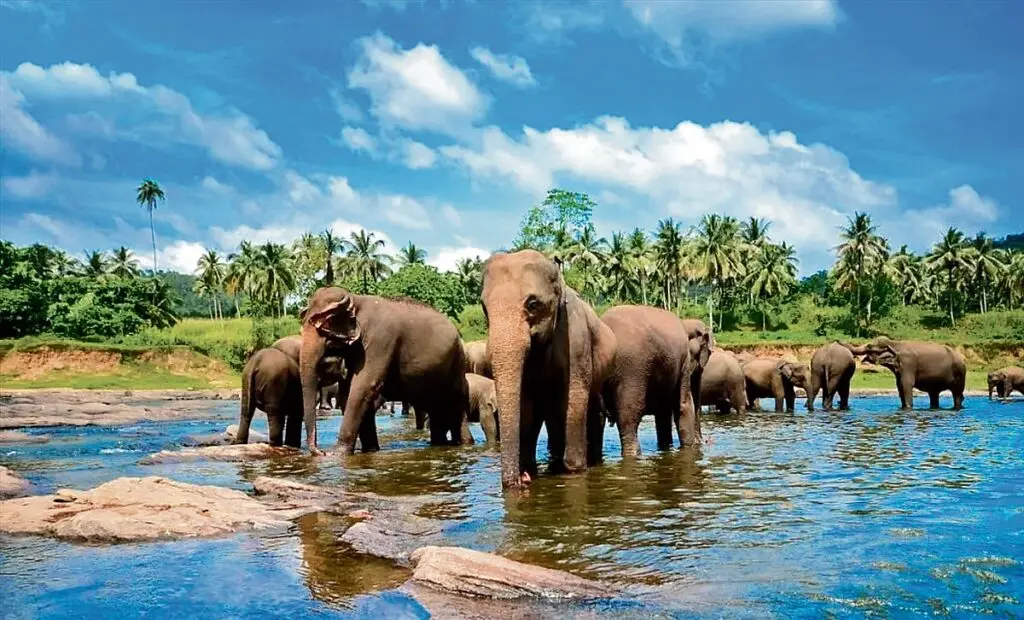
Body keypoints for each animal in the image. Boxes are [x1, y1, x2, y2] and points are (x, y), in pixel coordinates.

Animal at [298, 287, 471, 455]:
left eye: (327, 324)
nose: (320, 452)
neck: (356, 299)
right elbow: (349, 390)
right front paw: (370, 450)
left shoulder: (380, 340)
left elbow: (363, 386)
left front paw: (337, 454)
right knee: (436, 410)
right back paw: (438, 443)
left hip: (456, 365)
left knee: (455, 407)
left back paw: (465, 444)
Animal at [481, 250, 617, 488]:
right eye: (484, 309)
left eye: (533, 304)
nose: (522, 480)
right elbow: (526, 405)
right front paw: (528, 468)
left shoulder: (576, 338)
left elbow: (574, 396)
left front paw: (574, 470)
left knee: (592, 410)